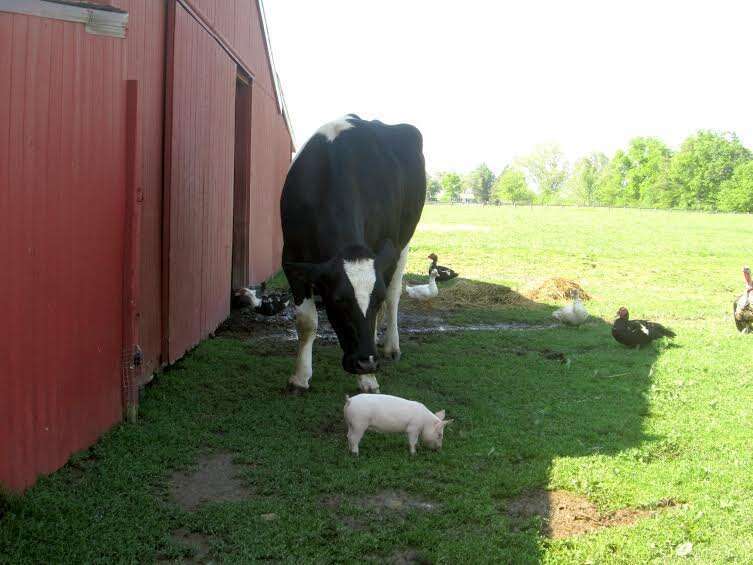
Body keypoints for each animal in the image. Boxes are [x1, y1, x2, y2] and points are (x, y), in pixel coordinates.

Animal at [280, 114, 426, 392]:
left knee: (394, 294)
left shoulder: (385, 253)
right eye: (338, 300)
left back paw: (390, 345)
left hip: (403, 243)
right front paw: (300, 377)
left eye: (376, 299)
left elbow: (383, 303)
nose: (367, 363)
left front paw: (368, 381)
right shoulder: (291, 256)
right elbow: (306, 322)